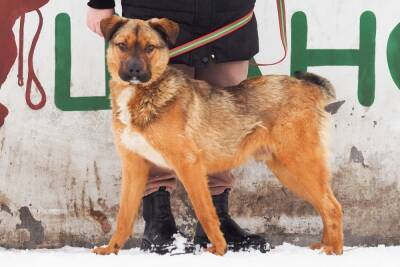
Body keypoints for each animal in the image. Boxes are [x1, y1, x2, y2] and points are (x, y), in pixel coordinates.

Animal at [93, 15, 344, 258]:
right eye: (122, 46)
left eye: (149, 48)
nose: (134, 71)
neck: (143, 95)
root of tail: (309, 87)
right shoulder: (134, 166)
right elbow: (124, 217)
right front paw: (111, 249)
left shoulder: (189, 165)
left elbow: (206, 212)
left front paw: (220, 249)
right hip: (287, 169)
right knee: (325, 205)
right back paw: (324, 245)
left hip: (298, 163)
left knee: (333, 207)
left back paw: (334, 250)